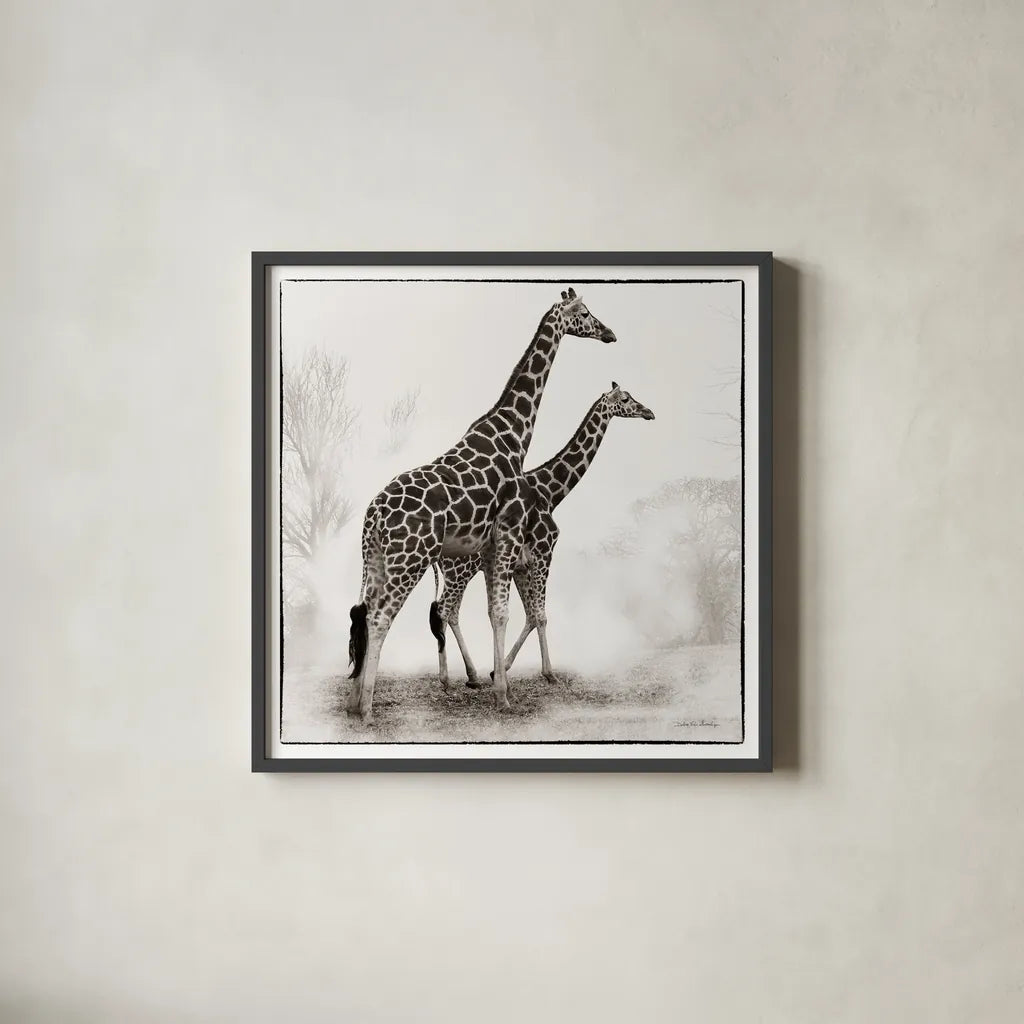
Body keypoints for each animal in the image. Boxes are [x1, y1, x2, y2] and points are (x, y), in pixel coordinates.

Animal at [347, 288, 617, 725]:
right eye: (584, 312)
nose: (609, 333)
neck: (514, 435)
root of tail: (374, 515)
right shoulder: (509, 534)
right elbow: (507, 612)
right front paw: (503, 695)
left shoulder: (493, 547)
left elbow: (496, 612)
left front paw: (497, 683)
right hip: (411, 559)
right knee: (382, 616)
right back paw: (369, 709)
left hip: (377, 559)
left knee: (366, 613)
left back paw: (354, 703)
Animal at [430, 382, 655, 689]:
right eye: (625, 398)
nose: (649, 412)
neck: (551, 491)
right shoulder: (544, 552)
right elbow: (540, 615)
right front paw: (548, 672)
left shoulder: (521, 565)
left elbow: (529, 616)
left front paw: (499, 670)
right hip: (460, 570)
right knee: (444, 610)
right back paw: (447, 677)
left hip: (460, 572)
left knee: (451, 611)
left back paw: (472, 675)